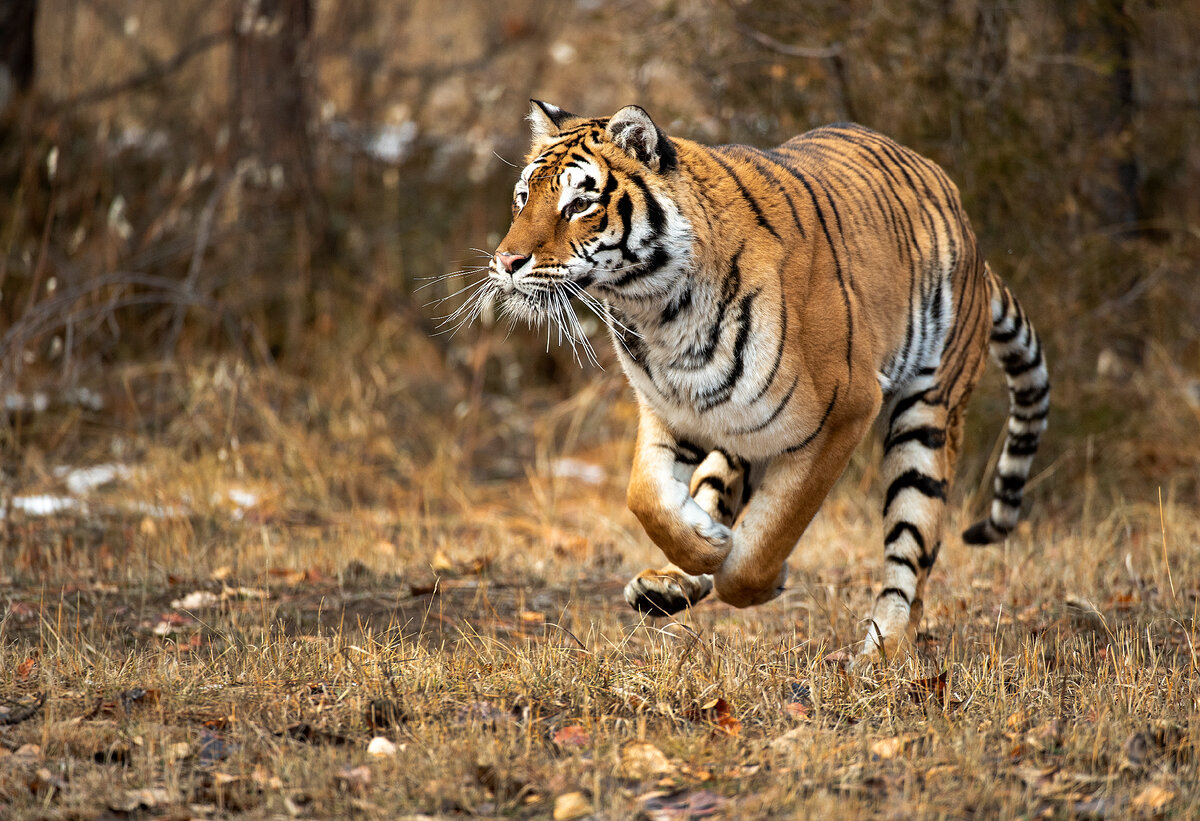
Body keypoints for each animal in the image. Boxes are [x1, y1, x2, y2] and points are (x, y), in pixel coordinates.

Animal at [468, 100, 1051, 662]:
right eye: (523, 197)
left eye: (578, 205)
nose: (506, 261)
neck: (657, 313)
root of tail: (965, 223)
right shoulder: (668, 407)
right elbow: (646, 497)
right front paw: (708, 544)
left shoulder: (845, 410)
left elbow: (773, 531)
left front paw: (757, 576)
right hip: (742, 422)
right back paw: (672, 581)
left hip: (927, 416)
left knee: (912, 548)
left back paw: (883, 651)